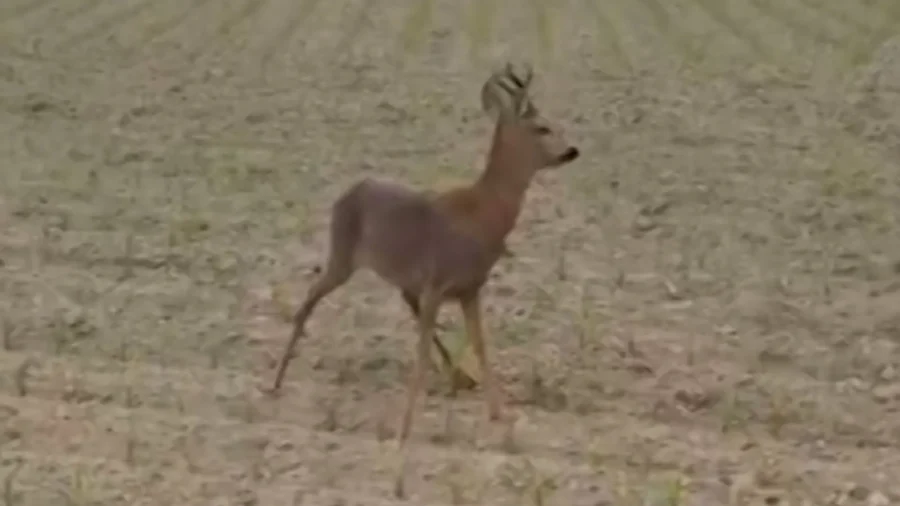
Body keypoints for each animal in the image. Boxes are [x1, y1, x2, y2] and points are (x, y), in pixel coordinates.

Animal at [267, 63, 579, 489]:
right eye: (542, 127)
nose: (572, 151)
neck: (484, 213)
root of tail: (347, 194)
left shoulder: (469, 288)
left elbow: (480, 345)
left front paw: (502, 419)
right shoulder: (437, 283)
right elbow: (419, 355)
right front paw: (404, 430)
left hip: (396, 276)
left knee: (394, 305)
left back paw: (456, 377)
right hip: (343, 257)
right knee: (309, 299)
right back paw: (277, 381)